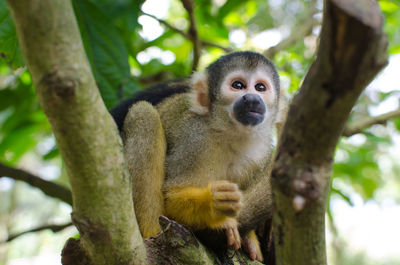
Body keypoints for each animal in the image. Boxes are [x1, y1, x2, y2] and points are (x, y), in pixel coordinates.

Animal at [110, 50, 282, 260]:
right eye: (238, 85)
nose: (252, 99)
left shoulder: (263, 153)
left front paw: (249, 237)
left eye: (260, 87)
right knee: (143, 114)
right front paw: (214, 204)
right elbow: (172, 197)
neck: (232, 134)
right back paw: (152, 234)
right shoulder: (195, 141)